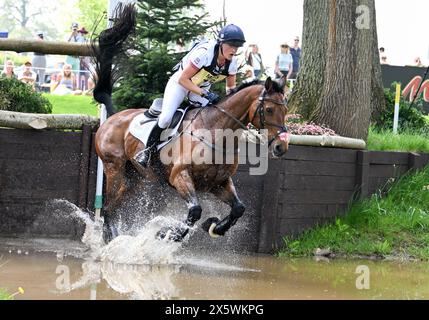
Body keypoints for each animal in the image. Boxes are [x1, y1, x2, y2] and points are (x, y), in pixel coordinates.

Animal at [92, 4, 290, 242]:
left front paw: (214, 227)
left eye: (286, 111)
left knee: (115, 204)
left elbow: (238, 208)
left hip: (135, 177)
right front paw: (166, 234)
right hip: (114, 168)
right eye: (269, 110)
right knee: (108, 206)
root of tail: (114, 117)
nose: (281, 146)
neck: (216, 134)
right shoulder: (180, 176)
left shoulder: (218, 182)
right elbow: (194, 211)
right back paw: (111, 239)